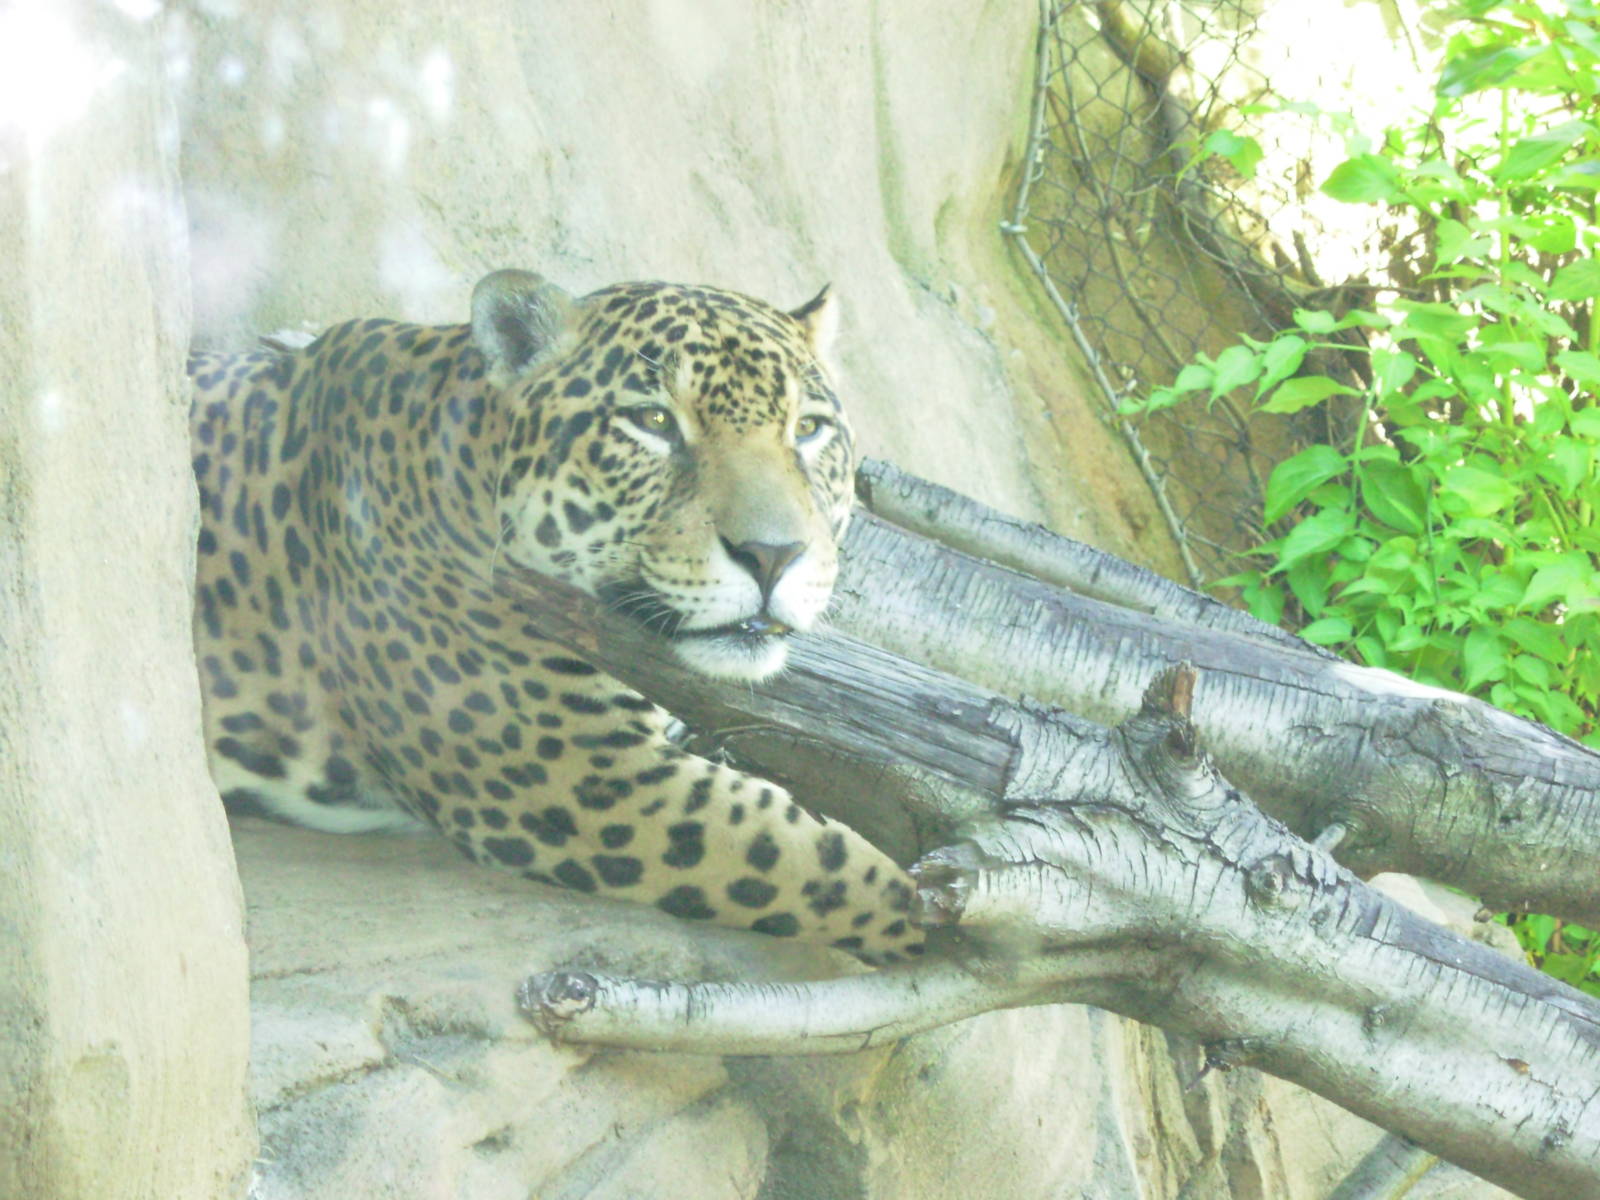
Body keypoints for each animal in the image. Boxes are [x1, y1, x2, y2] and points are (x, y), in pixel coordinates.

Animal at [189, 268, 923, 961]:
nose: (773, 555)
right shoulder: (590, 779)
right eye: (654, 422)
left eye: (808, 429)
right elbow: (817, 860)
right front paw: (938, 909)